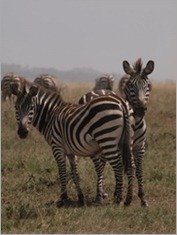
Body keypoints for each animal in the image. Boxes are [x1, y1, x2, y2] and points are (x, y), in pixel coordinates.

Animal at [10, 78, 135, 207]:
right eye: (16, 107)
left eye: (31, 107)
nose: (22, 132)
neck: (51, 116)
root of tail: (121, 102)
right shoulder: (70, 152)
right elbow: (75, 174)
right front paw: (80, 197)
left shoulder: (57, 147)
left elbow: (62, 172)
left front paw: (63, 198)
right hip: (126, 141)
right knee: (131, 166)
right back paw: (128, 199)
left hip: (107, 140)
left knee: (118, 167)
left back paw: (118, 199)